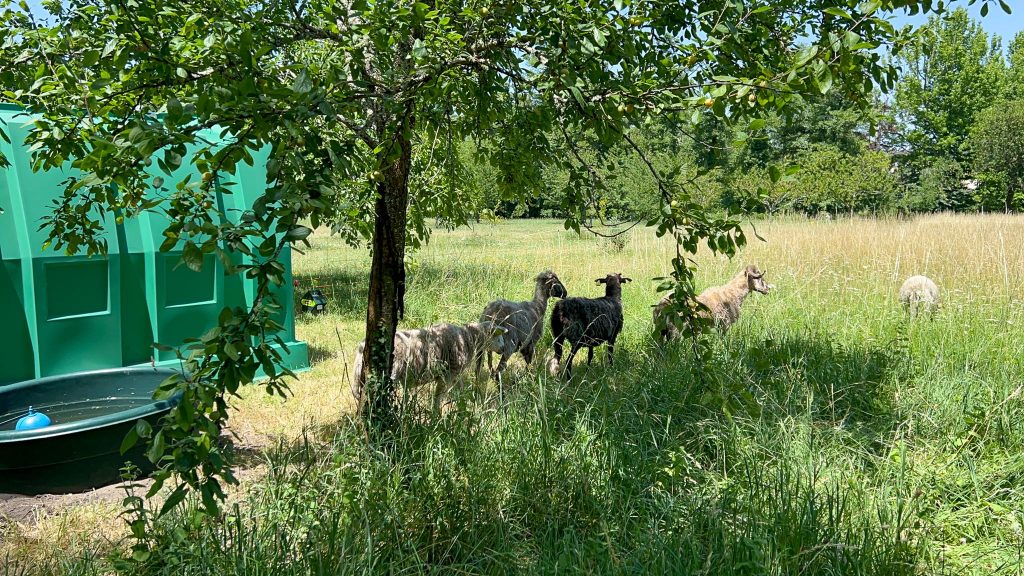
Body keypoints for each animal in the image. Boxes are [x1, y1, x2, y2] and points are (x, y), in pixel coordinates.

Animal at [352, 317, 507, 407]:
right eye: (499, 337)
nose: (503, 349)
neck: (467, 338)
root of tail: (362, 347)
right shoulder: (448, 374)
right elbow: (438, 399)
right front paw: (436, 418)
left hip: (360, 376)